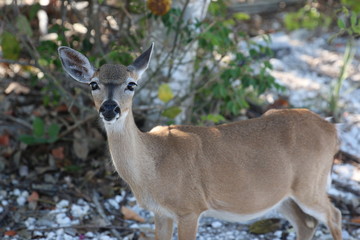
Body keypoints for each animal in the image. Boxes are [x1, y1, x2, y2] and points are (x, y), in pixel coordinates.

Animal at [57, 43, 342, 240]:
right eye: (93, 84)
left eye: (131, 84)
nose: (109, 108)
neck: (152, 167)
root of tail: (331, 129)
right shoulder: (160, 212)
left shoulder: (190, 208)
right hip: (282, 195)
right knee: (307, 223)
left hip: (310, 182)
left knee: (334, 215)